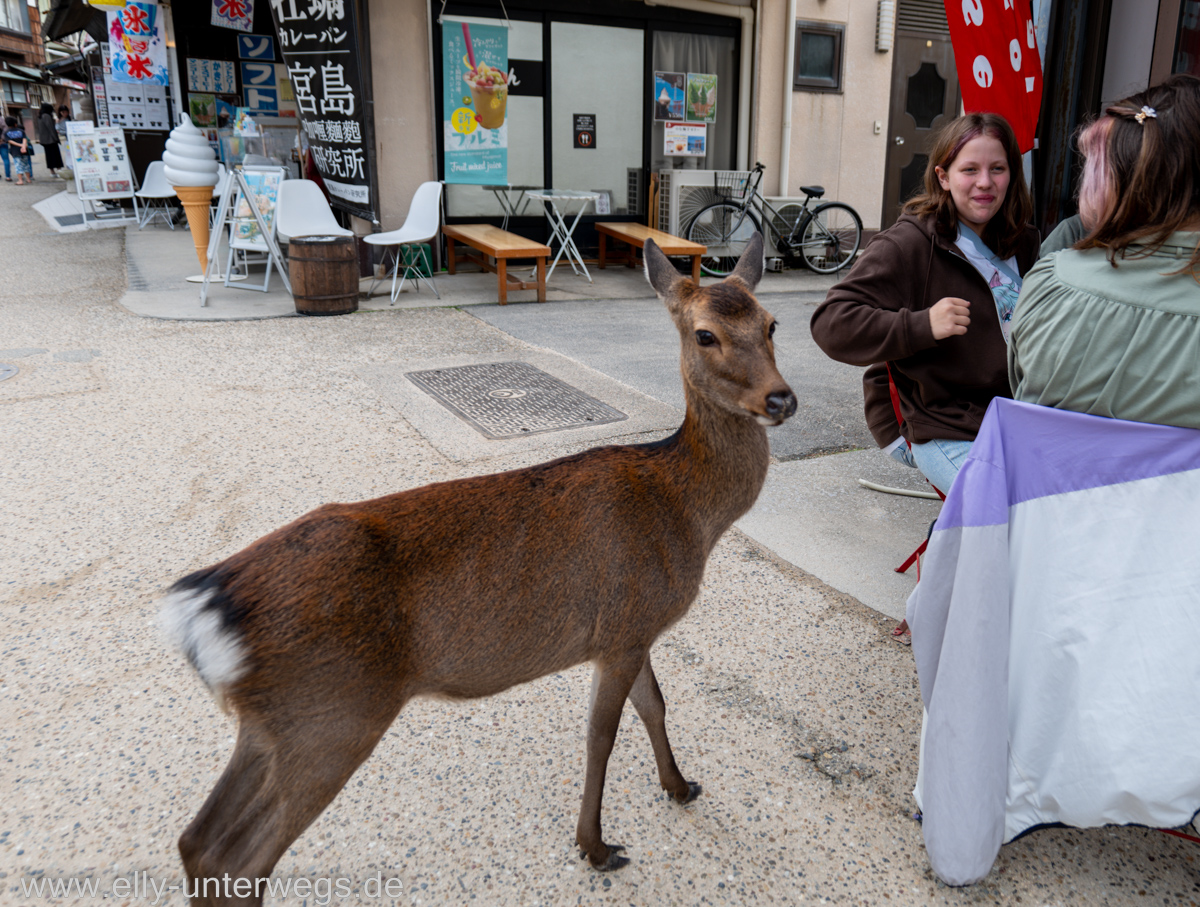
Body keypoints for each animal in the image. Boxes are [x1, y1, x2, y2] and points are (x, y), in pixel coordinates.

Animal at [162, 233, 796, 902]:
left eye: (772, 323)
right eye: (705, 334)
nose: (781, 398)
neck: (685, 511)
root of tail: (204, 604)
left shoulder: (635, 628)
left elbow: (656, 706)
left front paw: (680, 786)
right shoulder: (622, 628)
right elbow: (601, 737)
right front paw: (595, 847)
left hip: (271, 725)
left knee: (199, 841)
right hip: (331, 715)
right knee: (242, 854)